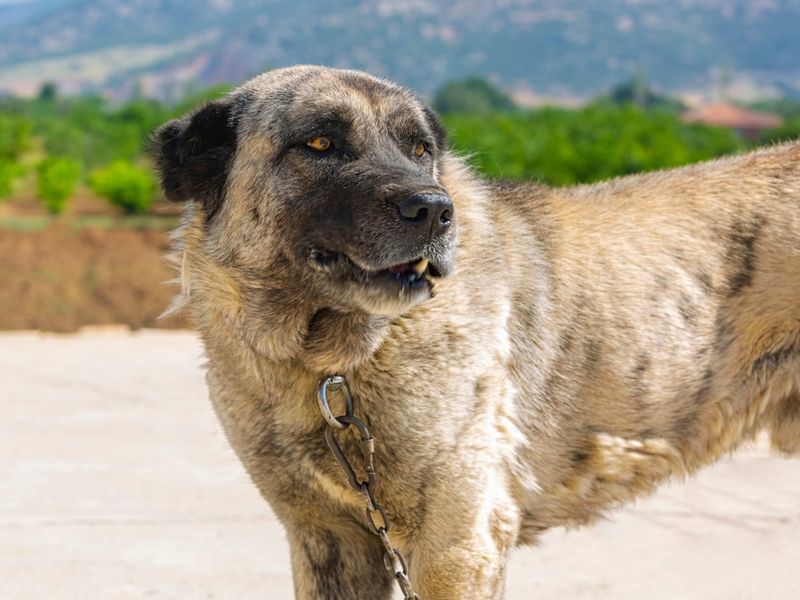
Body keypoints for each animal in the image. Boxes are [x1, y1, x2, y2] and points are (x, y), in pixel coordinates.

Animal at [152, 63, 800, 596]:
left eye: (419, 149)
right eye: (320, 143)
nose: (434, 210)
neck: (328, 363)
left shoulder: (458, 544)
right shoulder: (328, 537)